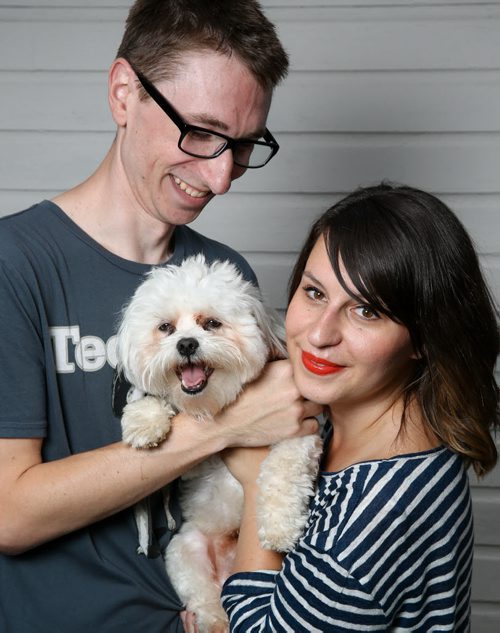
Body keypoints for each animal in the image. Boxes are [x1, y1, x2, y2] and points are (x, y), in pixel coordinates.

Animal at [115, 256, 322, 632]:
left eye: (211, 323)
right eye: (166, 328)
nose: (186, 344)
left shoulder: (304, 430)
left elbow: (283, 468)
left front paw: (281, 525)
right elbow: (160, 397)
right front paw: (144, 419)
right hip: (185, 550)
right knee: (206, 599)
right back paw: (212, 621)